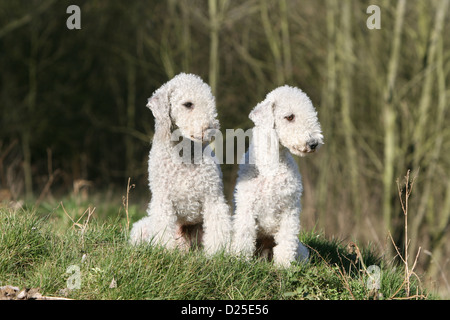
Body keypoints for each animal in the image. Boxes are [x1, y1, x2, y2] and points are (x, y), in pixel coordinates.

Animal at [128, 72, 230, 255]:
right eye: (188, 104)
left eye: (210, 100)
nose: (211, 128)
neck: (184, 154)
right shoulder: (163, 200)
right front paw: (165, 251)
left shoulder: (213, 198)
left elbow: (217, 228)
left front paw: (217, 254)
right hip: (142, 227)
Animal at [232, 85, 324, 268]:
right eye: (289, 116)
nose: (313, 143)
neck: (271, 166)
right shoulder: (247, 206)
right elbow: (244, 235)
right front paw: (240, 261)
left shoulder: (289, 209)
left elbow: (286, 241)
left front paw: (284, 266)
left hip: (301, 250)